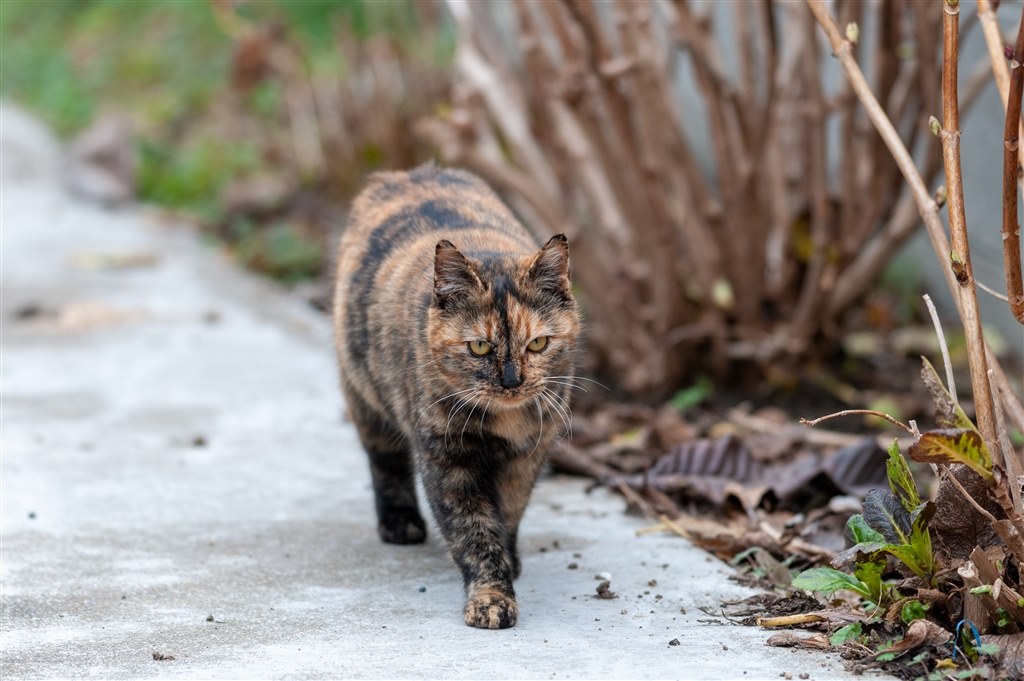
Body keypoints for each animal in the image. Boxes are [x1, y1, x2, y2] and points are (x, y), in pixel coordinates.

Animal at [331, 163, 581, 626]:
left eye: (538, 344)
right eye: (479, 347)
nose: (512, 381)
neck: (506, 421)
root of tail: (406, 174)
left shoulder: (527, 457)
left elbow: (508, 513)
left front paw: (510, 560)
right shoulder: (447, 461)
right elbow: (474, 531)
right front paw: (491, 597)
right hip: (363, 394)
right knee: (384, 461)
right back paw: (399, 523)